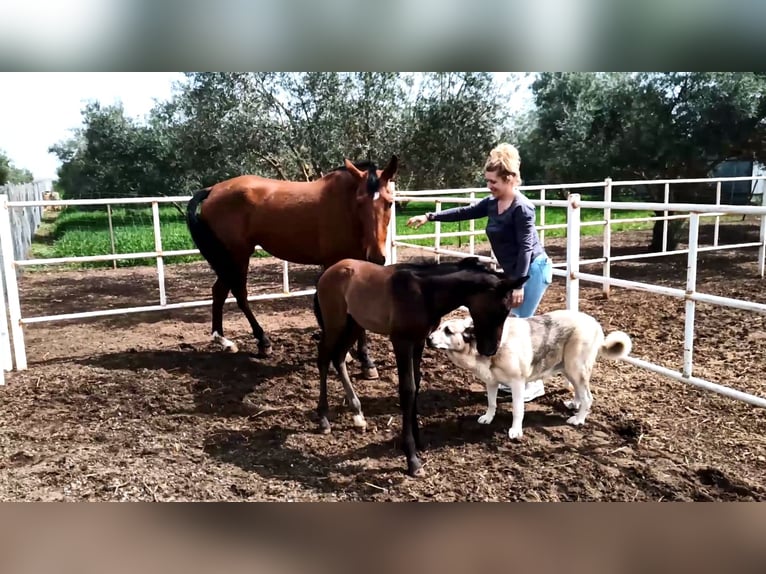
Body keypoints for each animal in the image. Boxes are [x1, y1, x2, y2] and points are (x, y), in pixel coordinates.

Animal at [187, 156, 400, 378]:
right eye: (359, 202)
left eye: (389, 203)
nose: (376, 257)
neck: (346, 208)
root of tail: (213, 189)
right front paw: (364, 360)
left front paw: (360, 357)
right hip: (236, 257)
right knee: (237, 293)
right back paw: (259, 341)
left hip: (230, 260)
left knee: (221, 292)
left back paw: (226, 341)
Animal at [314, 258, 528, 480]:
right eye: (501, 310)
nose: (490, 349)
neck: (423, 293)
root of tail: (329, 271)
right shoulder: (401, 342)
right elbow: (407, 390)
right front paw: (412, 459)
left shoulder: (418, 342)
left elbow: (416, 386)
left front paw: (418, 441)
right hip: (335, 324)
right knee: (324, 358)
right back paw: (323, 419)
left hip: (354, 324)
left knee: (338, 358)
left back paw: (358, 415)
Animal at [428, 310, 632, 440]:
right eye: (439, 327)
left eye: (448, 331)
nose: (428, 339)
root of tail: (595, 323)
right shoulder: (491, 382)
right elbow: (492, 403)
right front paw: (488, 418)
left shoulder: (517, 383)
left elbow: (517, 410)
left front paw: (515, 431)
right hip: (568, 368)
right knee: (579, 392)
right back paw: (575, 404)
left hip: (576, 367)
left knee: (588, 397)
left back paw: (579, 419)